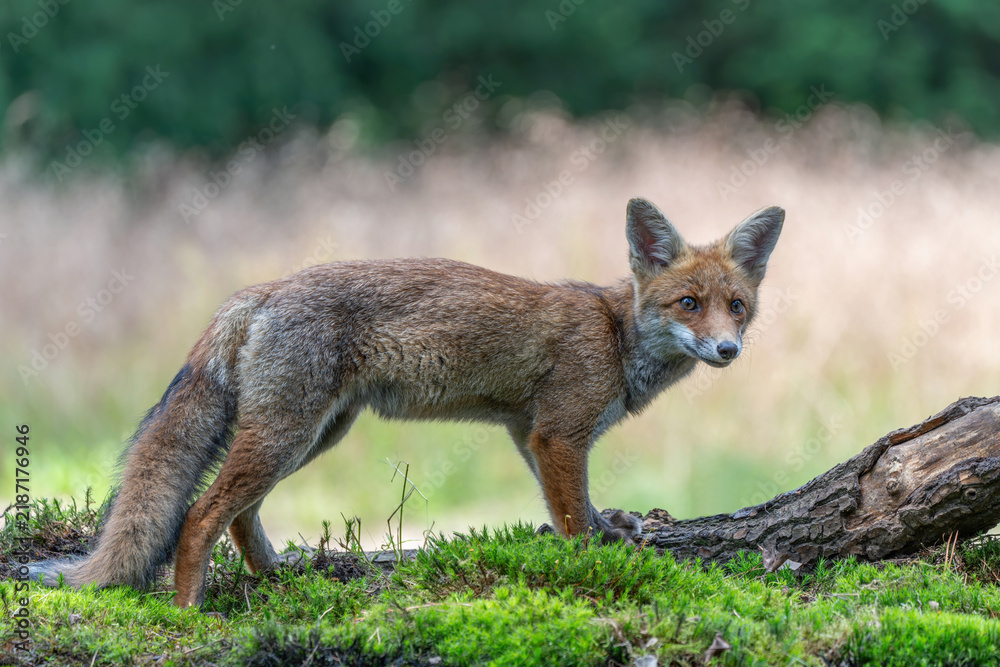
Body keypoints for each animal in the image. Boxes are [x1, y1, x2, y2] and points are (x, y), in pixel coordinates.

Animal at [31, 198, 783, 608]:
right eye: (688, 303)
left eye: (737, 307)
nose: (727, 351)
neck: (615, 334)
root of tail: (263, 288)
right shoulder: (558, 436)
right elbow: (571, 520)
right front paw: (591, 565)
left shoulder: (528, 433)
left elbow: (575, 508)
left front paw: (611, 532)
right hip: (288, 434)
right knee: (200, 514)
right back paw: (190, 610)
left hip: (314, 434)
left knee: (241, 515)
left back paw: (276, 576)